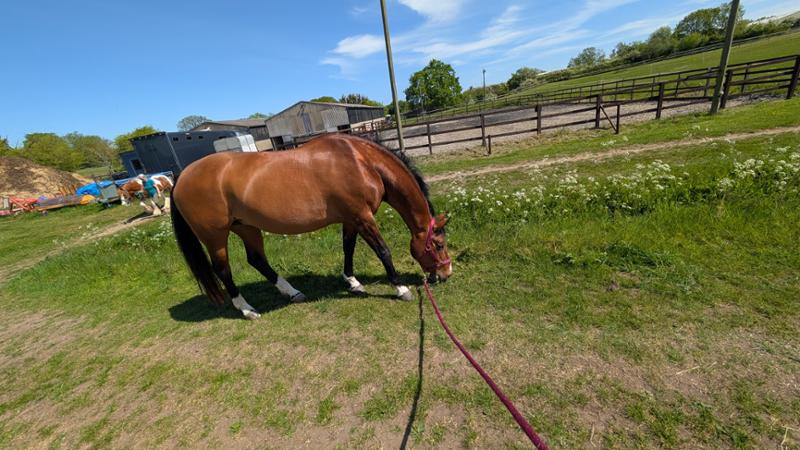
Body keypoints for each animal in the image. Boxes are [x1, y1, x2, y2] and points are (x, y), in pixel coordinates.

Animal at [170, 134, 452, 319]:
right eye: (438, 245)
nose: (446, 274)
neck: (360, 161)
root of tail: (182, 177)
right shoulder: (362, 217)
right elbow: (383, 251)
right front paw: (400, 288)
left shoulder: (351, 219)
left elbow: (348, 248)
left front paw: (353, 282)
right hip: (215, 237)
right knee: (223, 270)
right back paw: (247, 310)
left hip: (246, 227)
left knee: (257, 260)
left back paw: (293, 293)